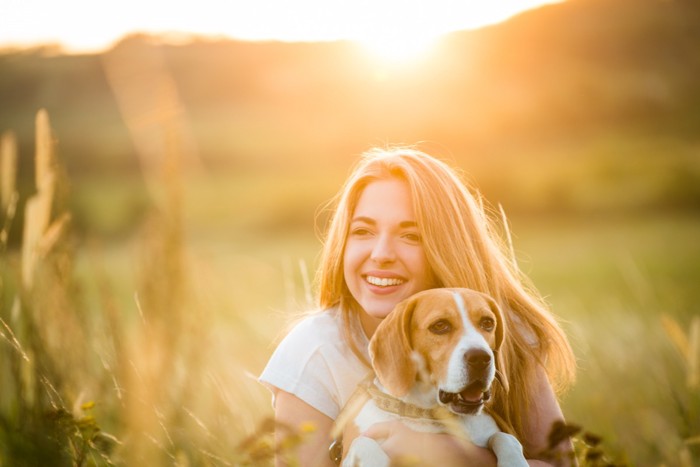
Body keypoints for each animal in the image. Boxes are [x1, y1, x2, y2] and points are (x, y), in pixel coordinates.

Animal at [340, 288, 524, 467]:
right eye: (440, 325)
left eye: (487, 323)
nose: (480, 358)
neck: (428, 415)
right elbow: (363, 442)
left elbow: (505, 438)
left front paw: (514, 461)